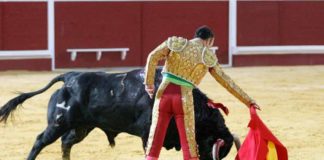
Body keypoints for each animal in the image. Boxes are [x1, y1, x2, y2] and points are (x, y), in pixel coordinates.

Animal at [0, 69, 238, 160]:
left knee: (66, 142)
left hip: (81, 127)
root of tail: (69, 77)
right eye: (215, 147)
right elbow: (150, 150)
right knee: (40, 140)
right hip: (59, 122)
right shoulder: (148, 132)